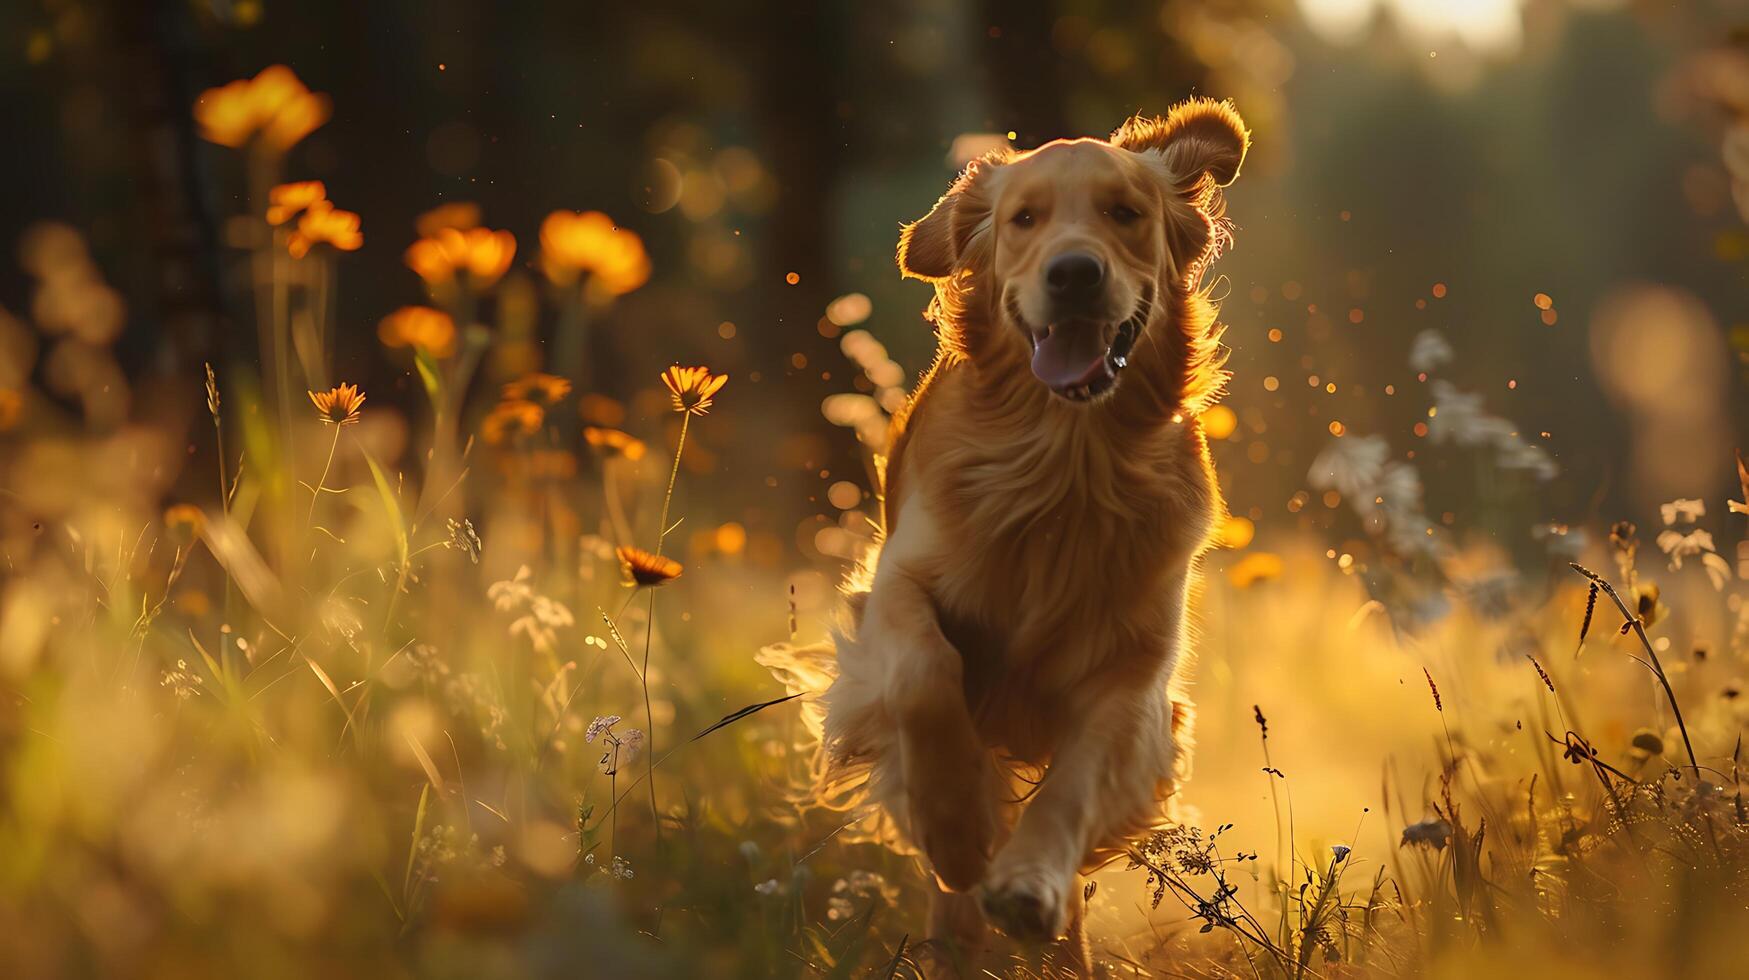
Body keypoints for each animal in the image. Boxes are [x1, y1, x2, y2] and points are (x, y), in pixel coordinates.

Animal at [766, 99, 1245, 973]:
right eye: (1024, 219)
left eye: (1125, 213)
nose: (1074, 273)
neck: (1065, 463)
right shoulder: (895, 590)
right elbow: (926, 674)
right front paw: (958, 829)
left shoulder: (1135, 676)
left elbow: (1073, 787)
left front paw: (1028, 884)